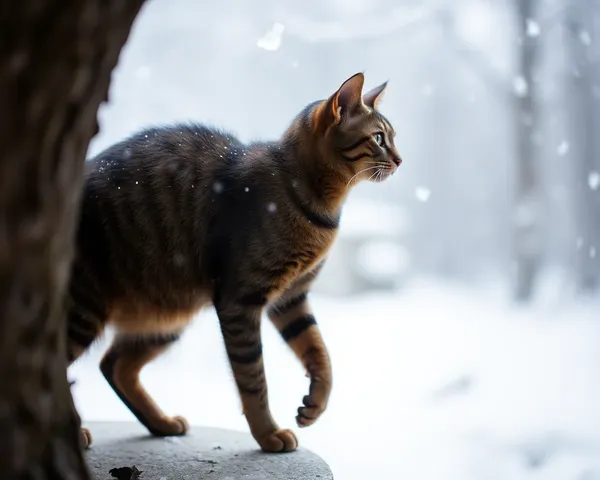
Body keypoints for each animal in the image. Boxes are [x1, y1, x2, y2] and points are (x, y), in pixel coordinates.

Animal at [68, 73, 400, 452]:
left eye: (392, 137)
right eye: (379, 138)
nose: (400, 159)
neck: (321, 209)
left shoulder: (291, 298)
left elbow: (321, 353)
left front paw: (315, 403)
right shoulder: (241, 299)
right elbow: (253, 378)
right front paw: (268, 434)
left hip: (169, 313)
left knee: (114, 365)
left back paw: (161, 422)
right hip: (86, 309)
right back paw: (76, 432)